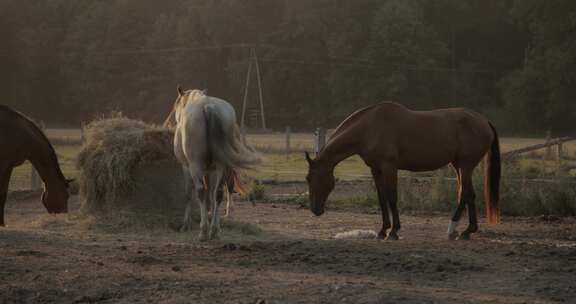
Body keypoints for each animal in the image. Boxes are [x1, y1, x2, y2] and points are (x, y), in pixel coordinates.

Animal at [169, 85, 258, 240]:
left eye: (177, 104)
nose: (172, 122)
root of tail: (208, 107)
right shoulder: (211, 170)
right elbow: (211, 193)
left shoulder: (186, 167)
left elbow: (189, 194)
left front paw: (185, 224)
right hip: (222, 166)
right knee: (219, 193)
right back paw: (215, 230)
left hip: (196, 166)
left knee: (201, 191)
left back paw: (204, 231)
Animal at [306, 102, 500, 240]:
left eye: (310, 178)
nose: (315, 209)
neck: (370, 127)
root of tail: (484, 121)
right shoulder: (375, 169)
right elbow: (382, 198)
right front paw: (382, 230)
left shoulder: (389, 167)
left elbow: (392, 197)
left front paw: (393, 231)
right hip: (458, 165)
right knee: (466, 195)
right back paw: (463, 231)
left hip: (466, 165)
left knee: (466, 194)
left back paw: (459, 230)